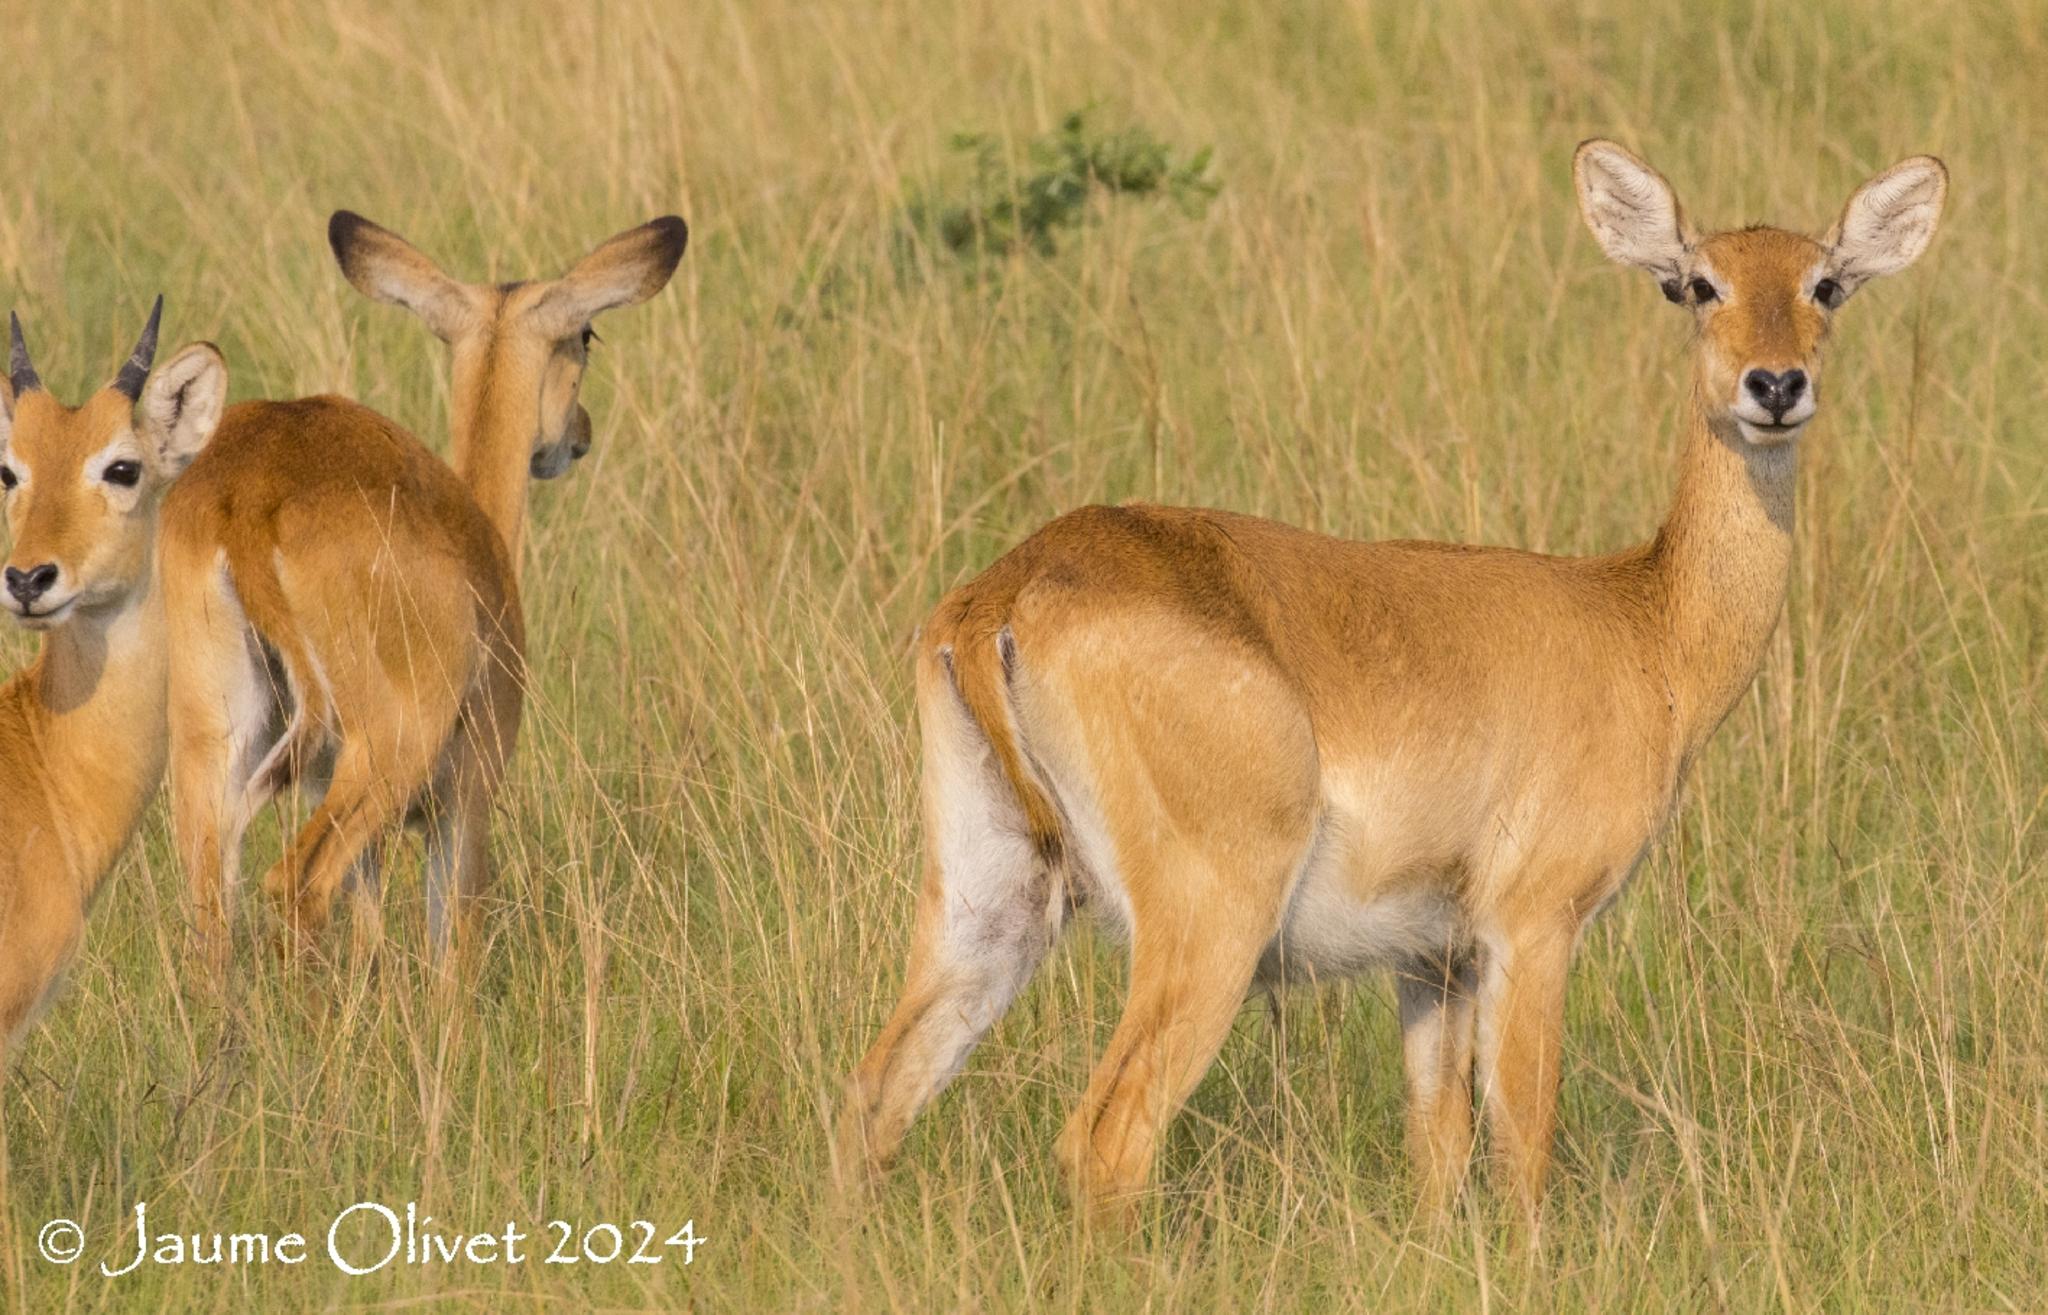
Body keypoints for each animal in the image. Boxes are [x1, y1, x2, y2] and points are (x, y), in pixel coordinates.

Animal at [161, 206, 688, 962]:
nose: (579, 436)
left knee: (213, 909)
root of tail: (251, 499)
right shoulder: (464, 808)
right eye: (586, 335)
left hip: (215, 745)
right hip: (383, 754)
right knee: (295, 882)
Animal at [835, 138, 1949, 1212]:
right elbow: (1523, 1151)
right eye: (1695, 283)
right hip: (1206, 918)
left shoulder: (1431, 960)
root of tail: (1007, 593)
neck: (1645, 622)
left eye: (1824, 283)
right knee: (1106, 1138)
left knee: (875, 1098)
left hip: (990, 897)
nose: (1774, 386)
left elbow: (1439, 1157)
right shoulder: (1530, 927)